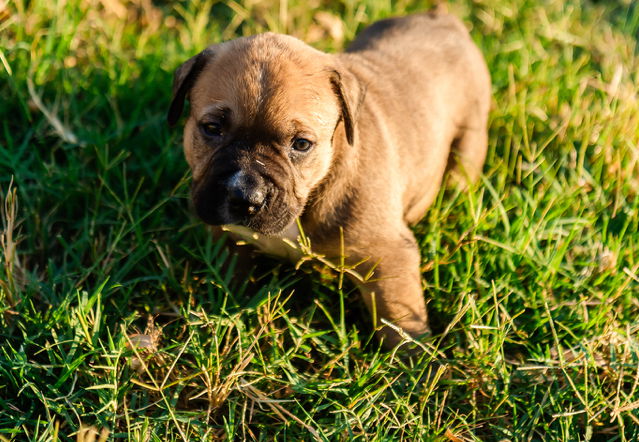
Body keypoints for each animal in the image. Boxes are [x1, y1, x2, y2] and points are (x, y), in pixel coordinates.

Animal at [168, 10, 492, 348]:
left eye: (301, 144)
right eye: (212, 128)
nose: (245, 196)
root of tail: (439, 15)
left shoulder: (390, 255)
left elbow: (399, 316)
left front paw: (411, 358)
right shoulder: (226, 234)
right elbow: (231, 269)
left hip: (470, 138)